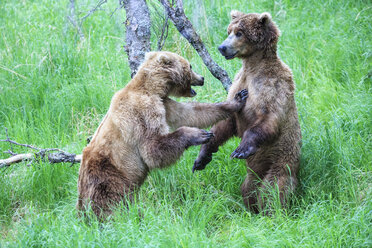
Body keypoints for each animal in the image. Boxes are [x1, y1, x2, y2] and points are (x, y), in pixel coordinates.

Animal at [77, 51, 248, 218]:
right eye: (190, 66)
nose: (202, 78)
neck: (151, 88)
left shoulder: (165, 103)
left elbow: (191, 113)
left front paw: (237, 99)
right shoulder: (142, 111)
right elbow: (152, 148)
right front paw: (199, 134)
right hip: (110, 176)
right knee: (113, 204)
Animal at [193, 11, 300, 213]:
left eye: (239, 33)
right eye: (229, 31)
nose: (222, 47)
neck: (253, 67)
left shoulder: (272, 85)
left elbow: (269, 118)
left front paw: (241, 149)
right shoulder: (239, 83)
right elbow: (226, 122)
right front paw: (202, 157)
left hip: (281, 160)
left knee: (273, 189)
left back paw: (271, 211)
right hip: (255, 172)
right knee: (249, 187)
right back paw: (251, 209)